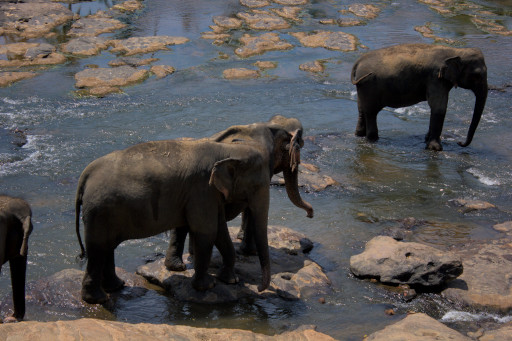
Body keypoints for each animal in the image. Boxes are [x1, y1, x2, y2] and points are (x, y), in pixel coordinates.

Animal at [75, 138, 272, 302]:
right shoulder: (202, 190)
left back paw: (117, 287)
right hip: (99, 211)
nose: (259, 288)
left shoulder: (212, 194)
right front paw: (207, 286)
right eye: (256, 186)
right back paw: (97, 299)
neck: (227, 149)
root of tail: (85, 175)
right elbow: (207, 231)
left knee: (106, 247)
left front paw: (231, 280)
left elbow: (220, 230)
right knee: (98, 249)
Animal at [166, 115, 314, 272]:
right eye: (301, 145)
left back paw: (179, 264)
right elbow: (252, 207)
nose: (310, 215)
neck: (273, 125)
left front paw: (242, 240)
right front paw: (251, 252)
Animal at [352, 43, 488, 149]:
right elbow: (439, 107)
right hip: (369, 85)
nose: (459, 142)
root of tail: (358, 62)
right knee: (371, 112)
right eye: (477, 75)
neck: (456, 51)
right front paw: (435, 148)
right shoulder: (435, 78)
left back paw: (359, 135)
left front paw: (427, 139)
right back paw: (373, 139)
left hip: (362, 86)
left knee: (362, 109)